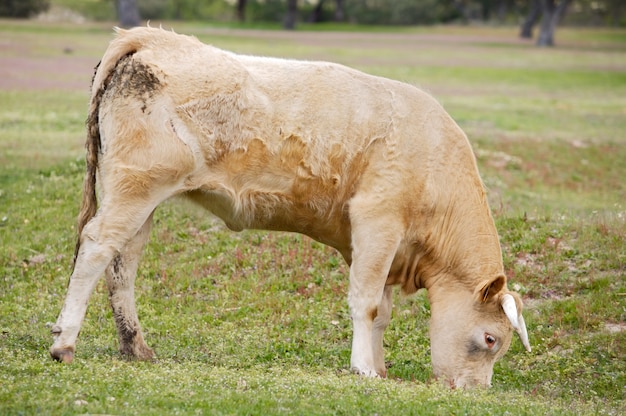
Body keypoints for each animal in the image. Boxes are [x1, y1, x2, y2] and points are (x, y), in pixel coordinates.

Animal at [48, 27, 528, 388]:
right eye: (490, 339)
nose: (475, 392)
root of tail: (154, 38)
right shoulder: (378, 221)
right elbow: (367, 303)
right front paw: (364, 369)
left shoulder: (379, 246)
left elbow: (382, 312)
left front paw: (379, 366)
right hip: (137, 186)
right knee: (96, 246)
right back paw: (64, 342)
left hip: (139, 197)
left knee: (122, 264)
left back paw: (135, 348)